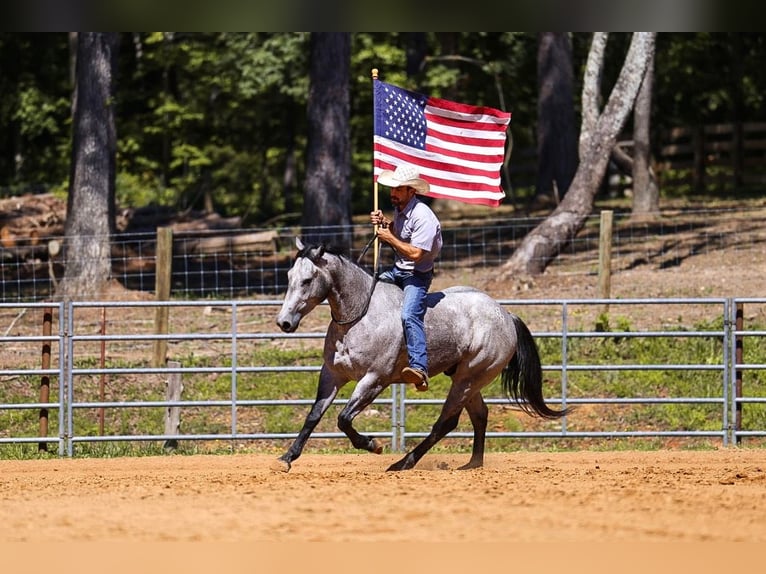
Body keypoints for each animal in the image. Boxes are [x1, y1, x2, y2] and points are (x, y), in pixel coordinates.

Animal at [274, 238, 568, 472]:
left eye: (307, 280)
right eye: (288, 277)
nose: (284, 322)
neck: (360, 315)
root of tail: (506, 314)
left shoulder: (375, 379)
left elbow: (343, 419)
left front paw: (373, 445)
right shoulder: (332, 375)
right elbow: (314, 416)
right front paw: (288, 457)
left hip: (470, 378)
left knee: (446, 423)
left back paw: (402, 463)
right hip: (467, 379)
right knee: (479, 415)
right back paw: (472, 464)